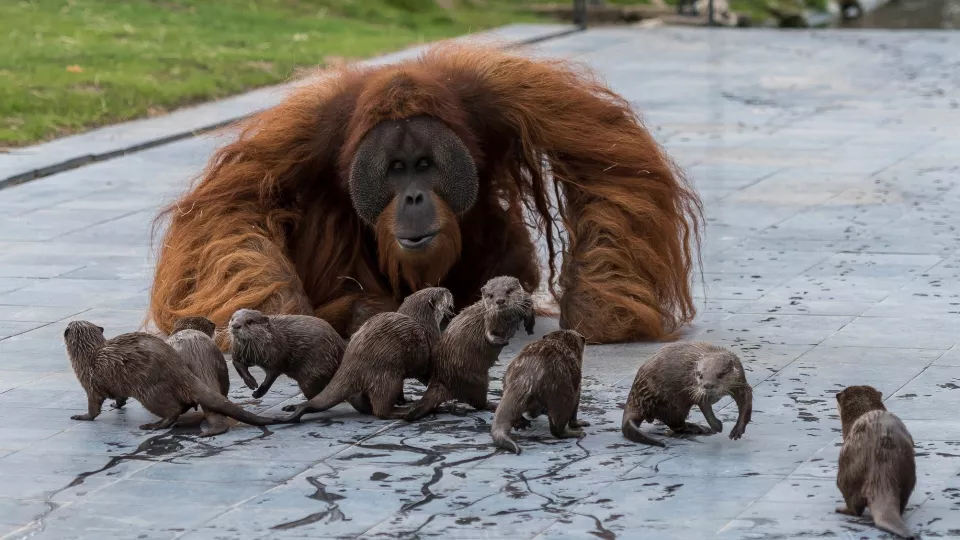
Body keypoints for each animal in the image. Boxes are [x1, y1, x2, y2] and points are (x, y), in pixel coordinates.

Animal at [61, 320, 282, 430]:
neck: (88, 355)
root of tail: (179, 369)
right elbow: (120, 397)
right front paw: (117, 405)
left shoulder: (90, 383)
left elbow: (94, 407)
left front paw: (82, 416)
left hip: (149, 391)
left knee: (172, 410)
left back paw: (153, 425)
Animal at [400, 274, 536, 422]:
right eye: (491, 295)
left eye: (509, 291)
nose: (500, 301)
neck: (506, 320)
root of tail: (443, 378)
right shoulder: (488, 319)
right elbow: (489, 334)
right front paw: (502, 341)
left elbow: (530, 305)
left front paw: (529, 324)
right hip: (477, 380)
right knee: (478, 403)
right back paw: (494, 405)